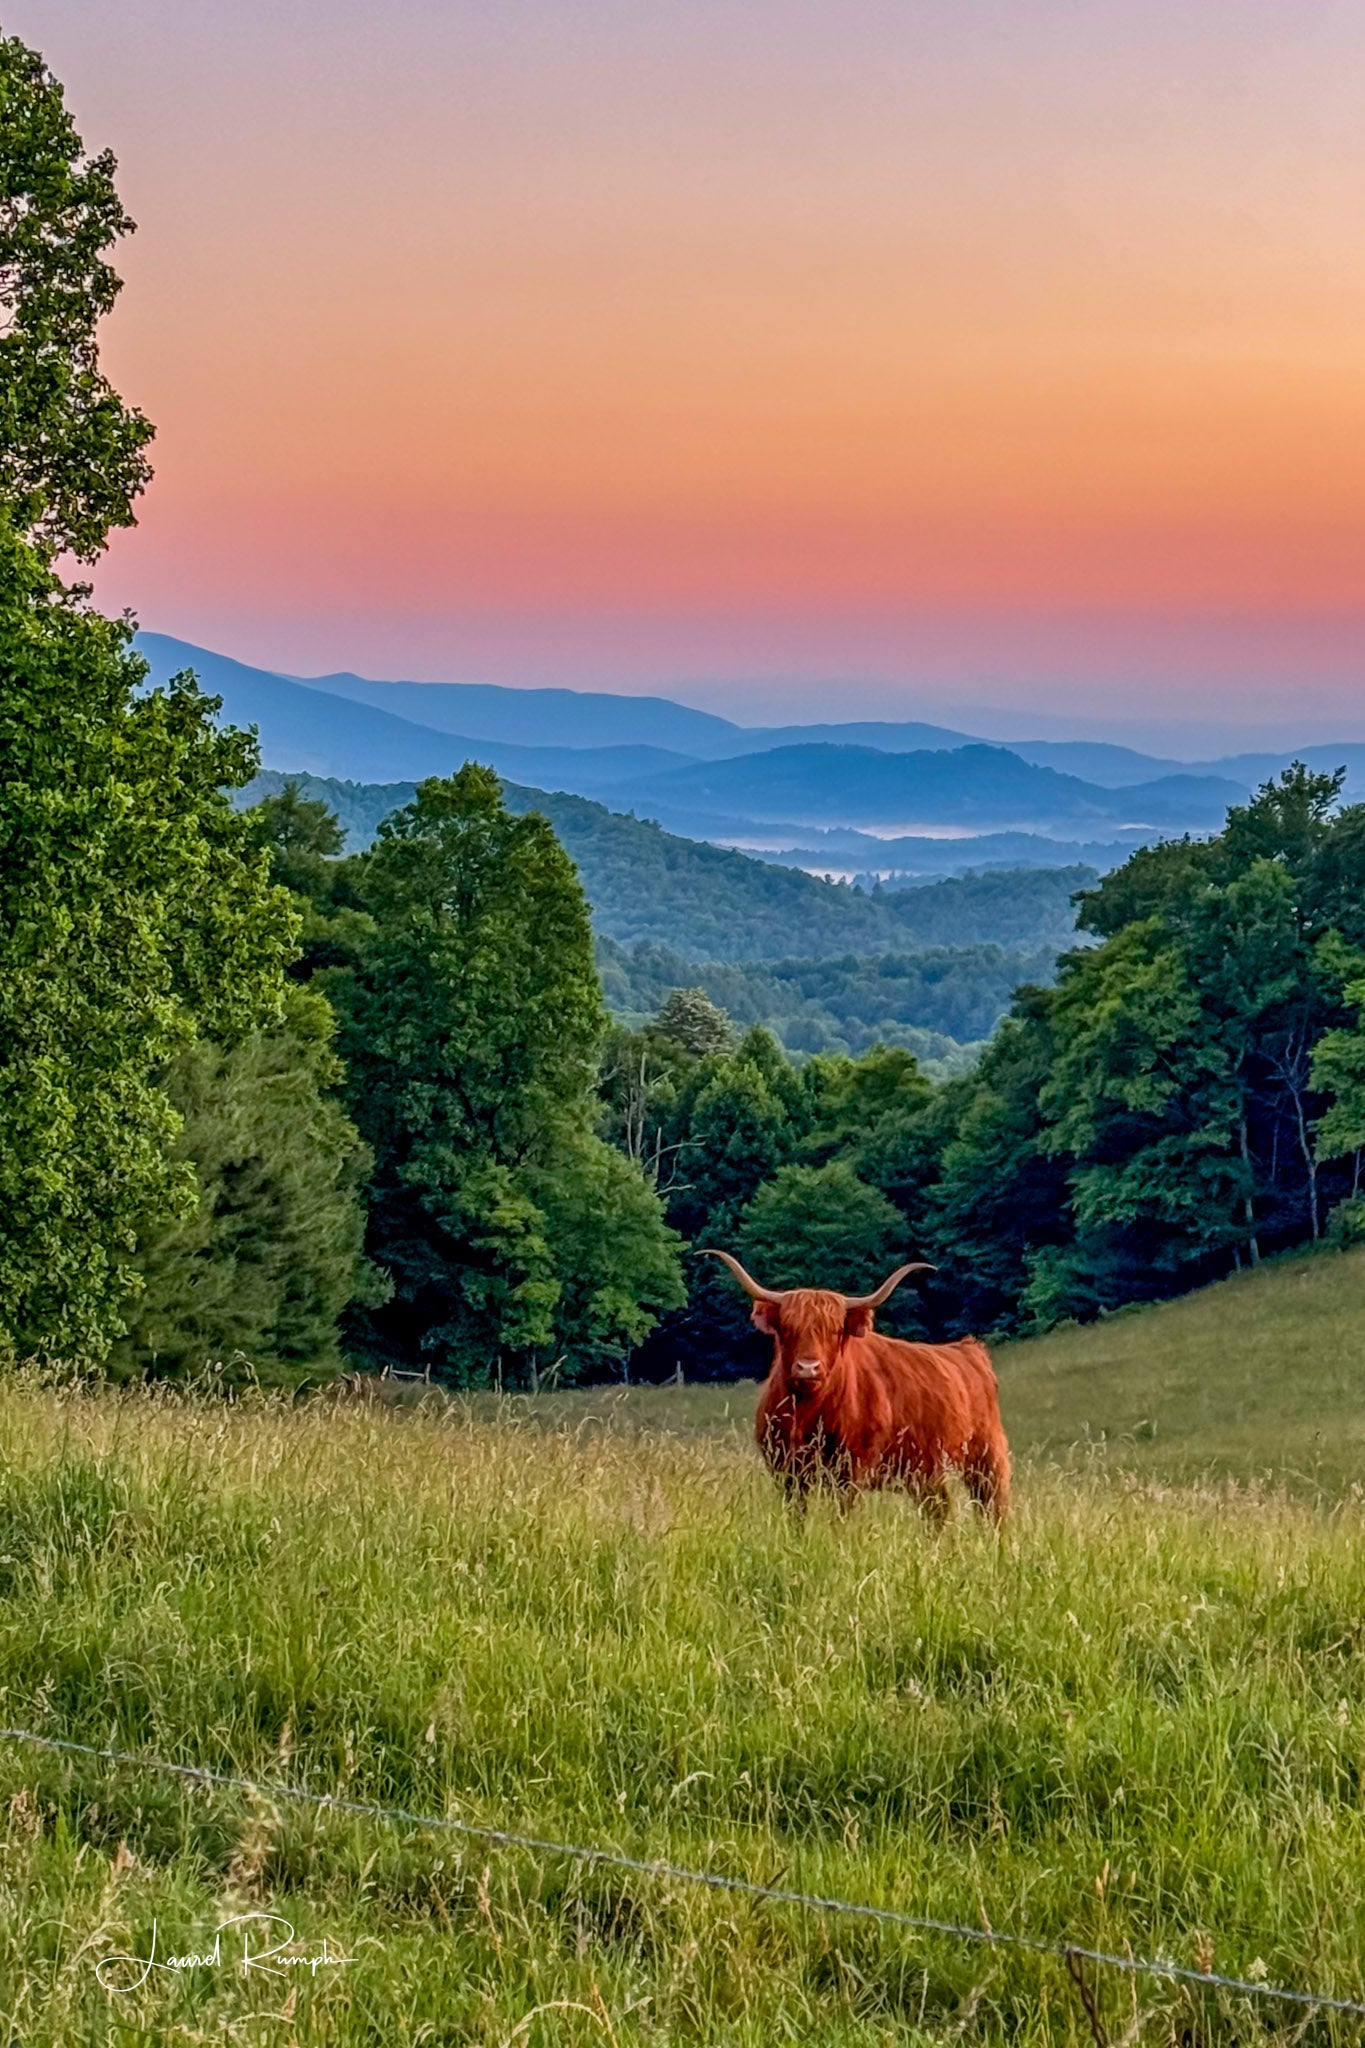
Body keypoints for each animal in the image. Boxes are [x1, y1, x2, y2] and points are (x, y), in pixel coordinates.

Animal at [701, 1250, 1010, 1521]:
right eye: (787, 1328)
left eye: (835, 1330)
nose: (808, 1368)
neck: (808, 1413)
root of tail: (968, 1348)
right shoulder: (787, 1471)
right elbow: (796, 1517)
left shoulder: (851, 1469)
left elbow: (842, 1516)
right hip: (925, 1471)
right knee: (938, 1510)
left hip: (987, 1458)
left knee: (994, 1508)